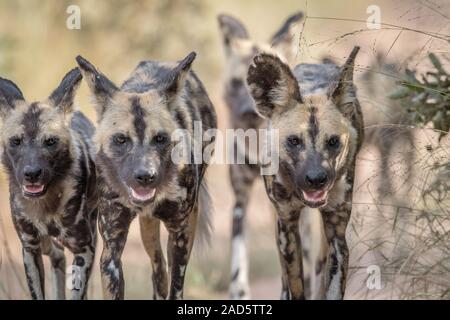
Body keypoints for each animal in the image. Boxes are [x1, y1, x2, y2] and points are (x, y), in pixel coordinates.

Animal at [0, 68, 98, 300]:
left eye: (51, 142)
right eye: (16, 141)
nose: (32, 174)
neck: (46, 206)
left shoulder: (84, 248)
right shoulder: (30, 248)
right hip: (43, 244)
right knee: (57, 254)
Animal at [76, 51, 217, 298]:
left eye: (160, 138)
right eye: (121, 140)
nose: (145, 176)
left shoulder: (180, 235)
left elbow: (176, 288)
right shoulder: (111, 249)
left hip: (184, 226)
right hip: (148, 228)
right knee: (158, 268)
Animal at [248, 47, 364, 300]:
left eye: (333, 142)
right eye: (294, 141)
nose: (316, 179)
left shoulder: (337, 236)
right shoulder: (287, 227)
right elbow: (295, 285)